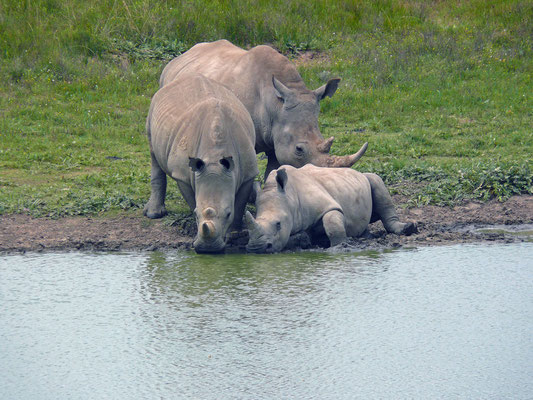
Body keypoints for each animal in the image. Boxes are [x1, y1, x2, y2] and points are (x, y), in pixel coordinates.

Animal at [142, 73, 256, 253]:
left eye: (228, 214)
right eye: (195, 215)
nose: (208, 248)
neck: (214, 157)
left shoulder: (248, 171)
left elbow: (239, 205)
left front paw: (234, 234)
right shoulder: (182, 175)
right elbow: (192, 201)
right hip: (153, 106)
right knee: (153, 151)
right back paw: (154, 214)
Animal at [158, 39, 366, 177]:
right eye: (299, 149)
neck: (275, 103)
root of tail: (181, 56)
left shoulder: (277, 137)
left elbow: (273, 169)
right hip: (165, 81)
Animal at [245, 163, 416, 252]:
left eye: (278, 224)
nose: (256, 248)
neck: (290, 198)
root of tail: (355, 171)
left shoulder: (328, 205)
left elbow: (332, 221)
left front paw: (339, 247)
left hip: (365, 177)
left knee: (375, 179)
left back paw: (408, 228)